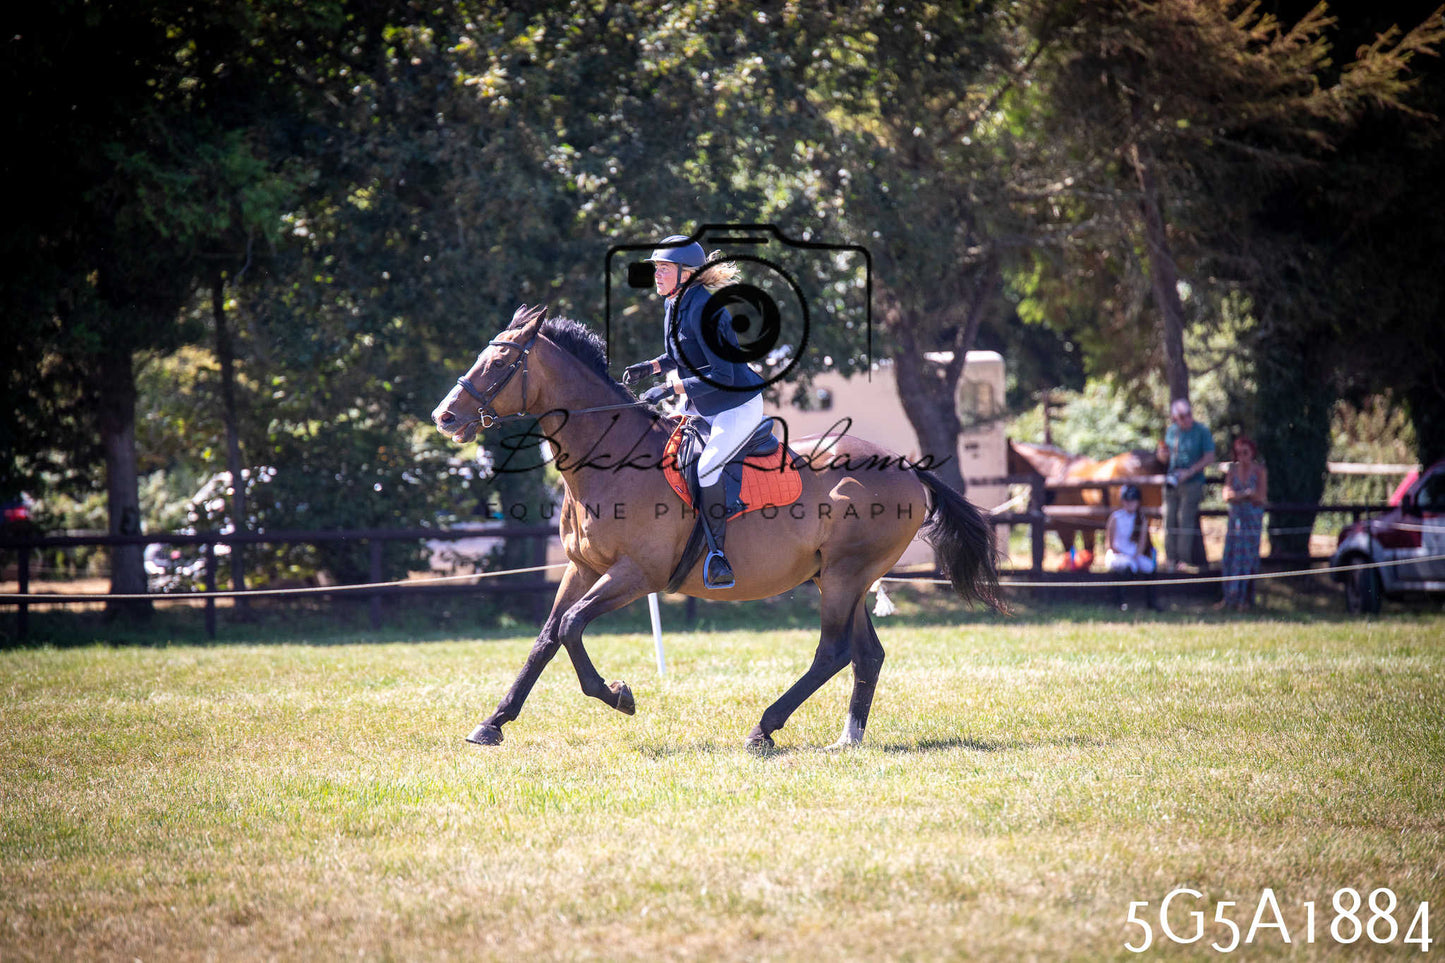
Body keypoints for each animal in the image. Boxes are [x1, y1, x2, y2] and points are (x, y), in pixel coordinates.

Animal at [431, 305, 1003, 749]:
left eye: (499, 362)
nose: (444, 417)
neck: (608, 458)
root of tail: (904, 465)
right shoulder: (581, 568)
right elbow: (547, 638)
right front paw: (493, 723)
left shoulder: (635, 574)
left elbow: (571, 626)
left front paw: (618, 696)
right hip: (842, 578)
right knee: (867, 655)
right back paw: (847, 739)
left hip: (845, 576)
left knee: (834, 653)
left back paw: (764, 729)